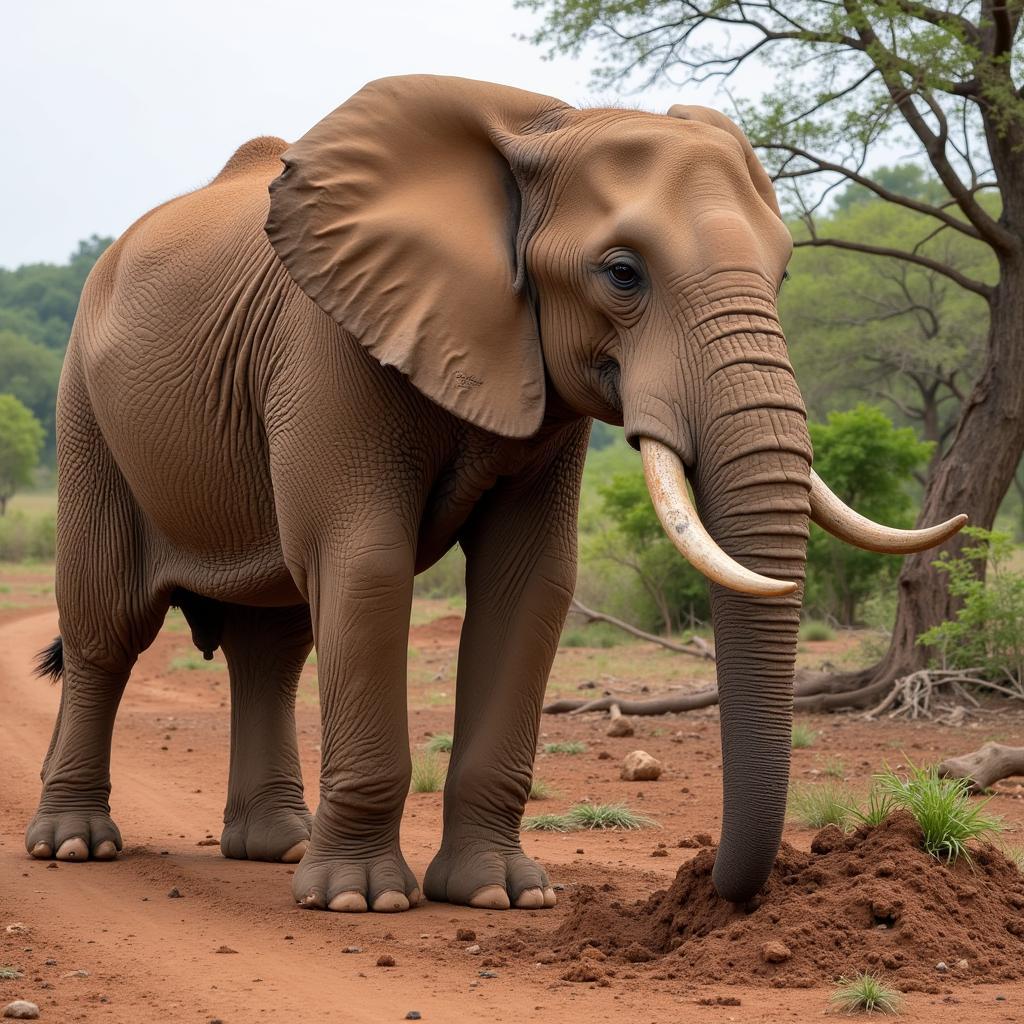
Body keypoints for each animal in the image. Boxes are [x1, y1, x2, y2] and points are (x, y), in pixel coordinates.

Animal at [25, 75, 966, 909]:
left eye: (780, 276)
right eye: (622, 273)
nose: (714, 890)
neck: (538, 129)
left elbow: (531, 579)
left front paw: (501, 896)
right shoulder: (325, 339)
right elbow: (365, 563)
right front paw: (361, 900)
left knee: (272, 643)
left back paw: (274, 848)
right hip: (84, 408)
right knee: (108, 627)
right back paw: (75, 845)